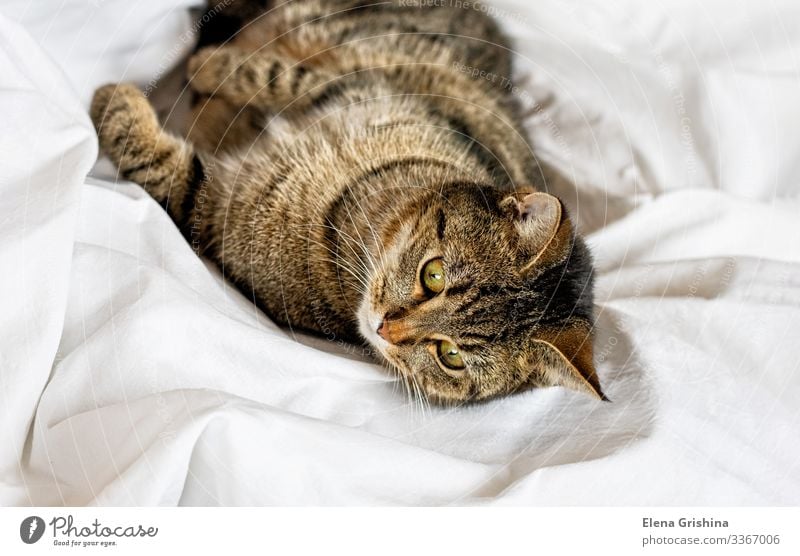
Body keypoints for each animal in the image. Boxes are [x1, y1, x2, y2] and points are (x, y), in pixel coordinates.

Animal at [89, 0, 608, 402]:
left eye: (451, 356)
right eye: (433, 275)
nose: (384, 329)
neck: (355, 203)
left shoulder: (216, 210)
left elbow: (162, 166)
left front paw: (113, 101)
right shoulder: (358, 85)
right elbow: (275, 73)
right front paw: (209, 68)